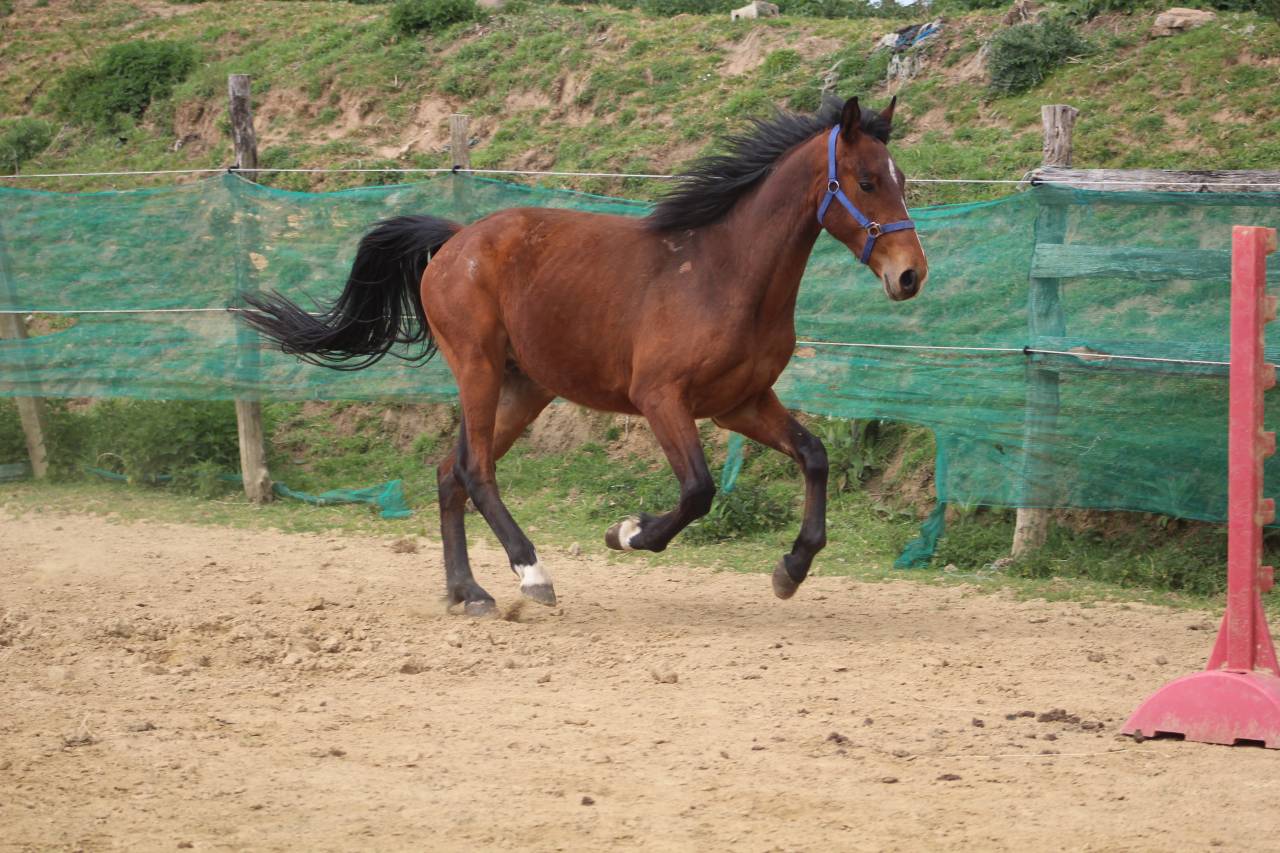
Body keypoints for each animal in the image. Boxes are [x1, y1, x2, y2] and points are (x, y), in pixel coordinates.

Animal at [242, 95, 929, 616]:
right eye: (868, 181)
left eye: (900, 181)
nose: (910, 276)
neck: (725, 274)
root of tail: (455, 242)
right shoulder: (662, 399)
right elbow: (699, 490)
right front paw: (628, 532)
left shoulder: (741, 404)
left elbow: (814, 457)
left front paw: (792, 567)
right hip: (478, 369)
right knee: (475, 470)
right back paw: (531, 573)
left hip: (524, 387)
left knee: (448, 472)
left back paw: (468, 592)